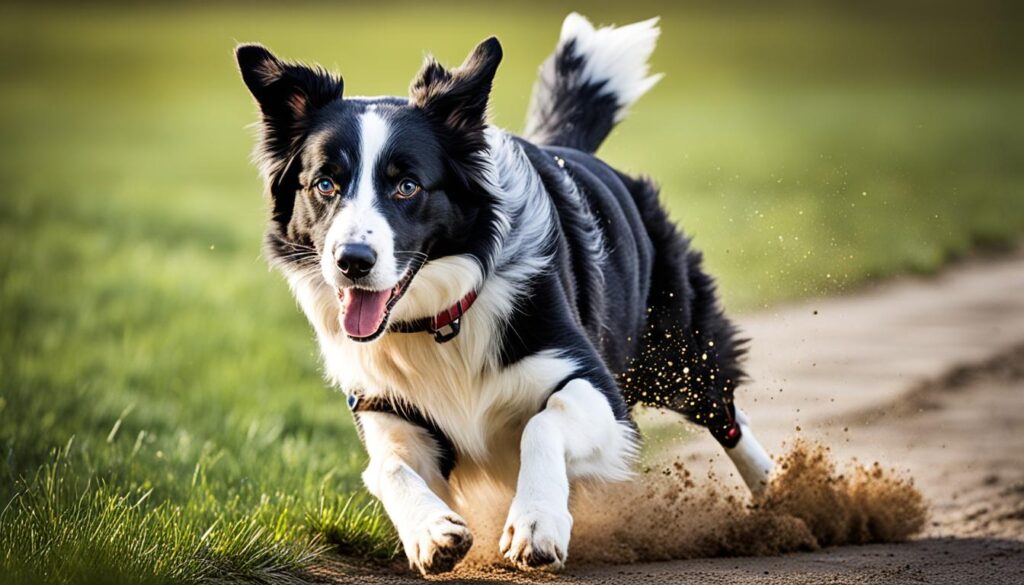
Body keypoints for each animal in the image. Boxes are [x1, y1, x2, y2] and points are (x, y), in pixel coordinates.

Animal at [235, 12, 770, 577]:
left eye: (407, 186)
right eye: (325, 184)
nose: (352, 262)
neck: (440, 322)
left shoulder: (597, 389)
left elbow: (543, 422)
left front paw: (536, 523)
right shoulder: (387, 406)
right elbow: (385, 468)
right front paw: (430, 531)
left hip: (677, 352)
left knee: (724, 413)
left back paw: (777, 493)